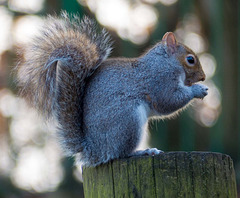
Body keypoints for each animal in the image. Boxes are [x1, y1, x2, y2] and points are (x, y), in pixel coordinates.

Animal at [16, 12, 208, 167]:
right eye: (190, 59)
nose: (203, 77)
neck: (165, 62)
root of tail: (94, 149)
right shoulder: (160, 81)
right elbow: (168, 101)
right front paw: (198, 90)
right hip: (127, 120)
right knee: (121, 153)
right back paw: (143, 151)